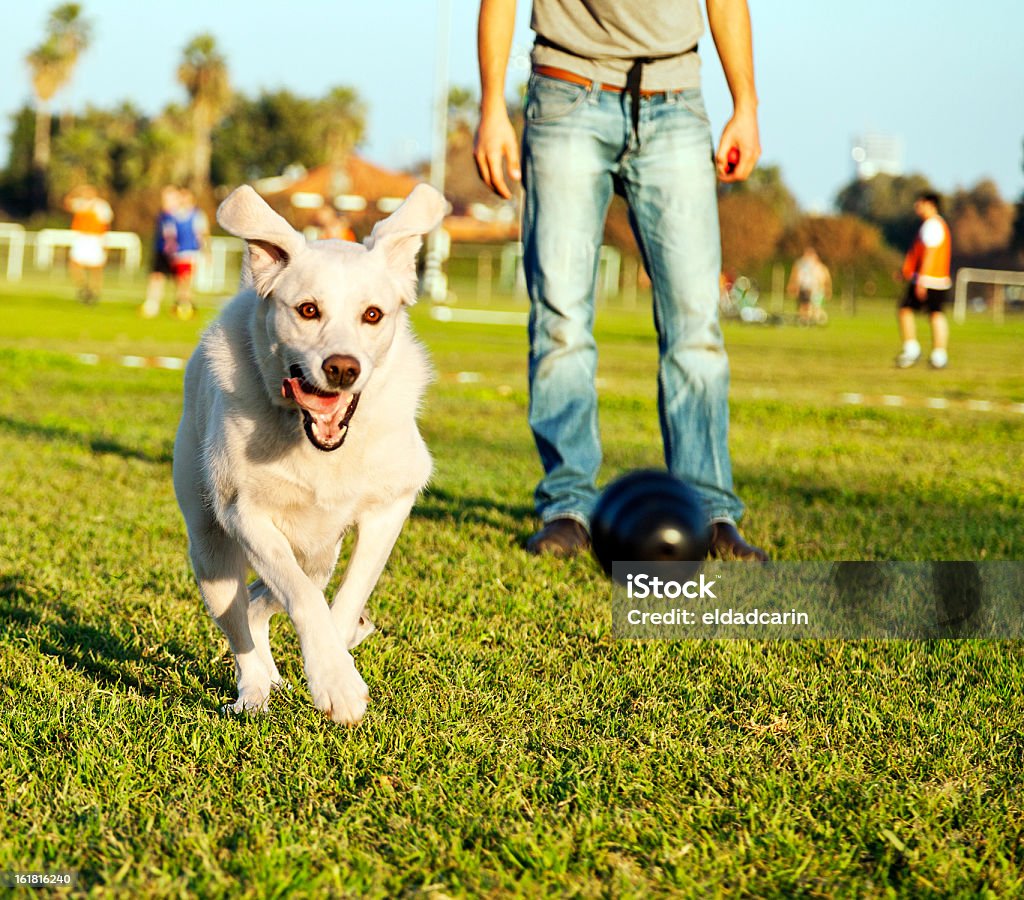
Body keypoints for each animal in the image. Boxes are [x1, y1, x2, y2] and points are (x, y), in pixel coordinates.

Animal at [174, 183, 446, 724]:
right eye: (307, 310)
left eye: (372, 314)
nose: (342, 368)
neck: (316, 446)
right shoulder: (244, 514)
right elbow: (299, 596)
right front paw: (335, 682)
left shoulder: (392, 505)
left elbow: (350, 592)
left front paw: (339, 657)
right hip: (212, 552)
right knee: (243, 619)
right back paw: (255, 691)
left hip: (320, 550)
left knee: (263, 600)